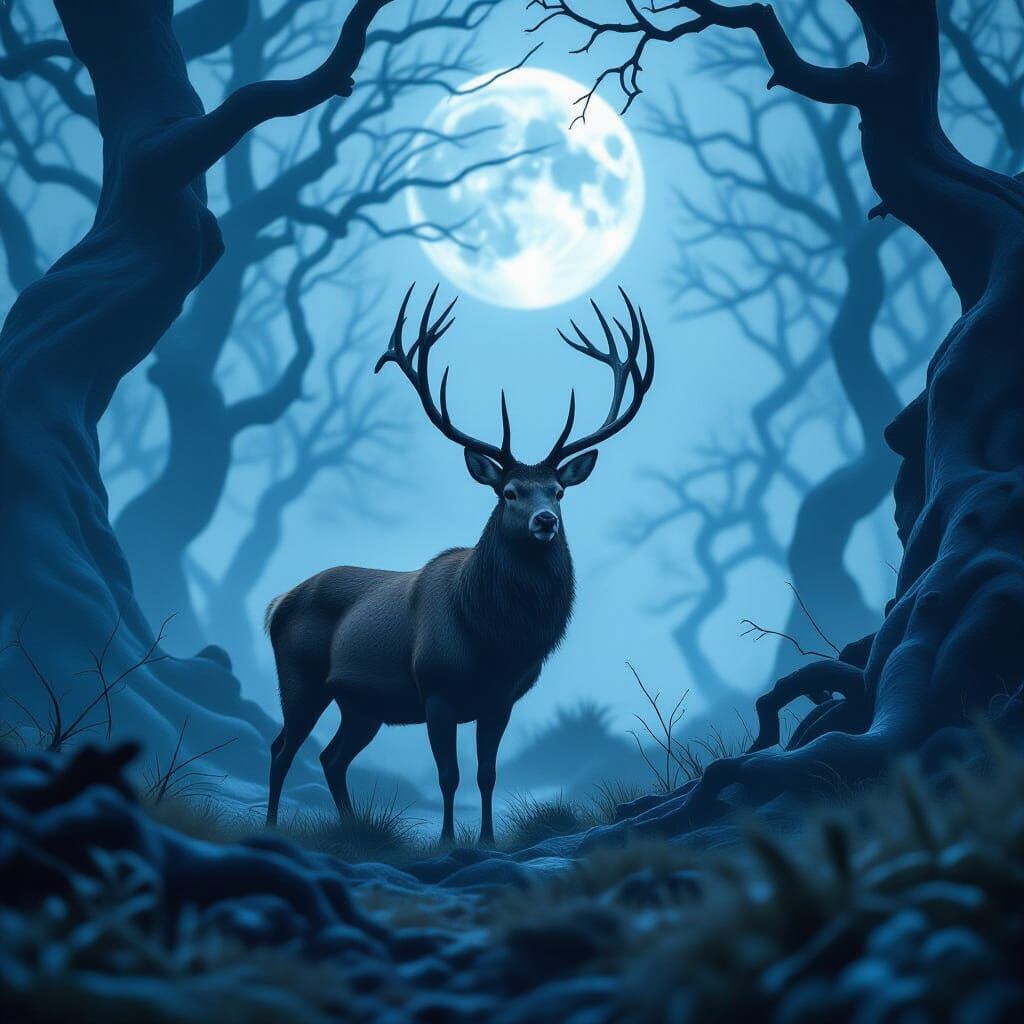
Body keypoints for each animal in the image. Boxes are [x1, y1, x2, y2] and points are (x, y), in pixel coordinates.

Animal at [264, 285, 654, 843]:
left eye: (558, 492)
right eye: (509, 492)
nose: (544, 522)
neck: (494, 639)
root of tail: (276, 604)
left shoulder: (502, 699)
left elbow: (486, 774)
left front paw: (487, 839)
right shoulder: (437, 689)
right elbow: (448, 775)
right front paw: (449, 840)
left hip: (361, 703)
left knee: (331, 758)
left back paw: (352, 826)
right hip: (300, 676)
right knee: (282, 748)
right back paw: (272, 825)